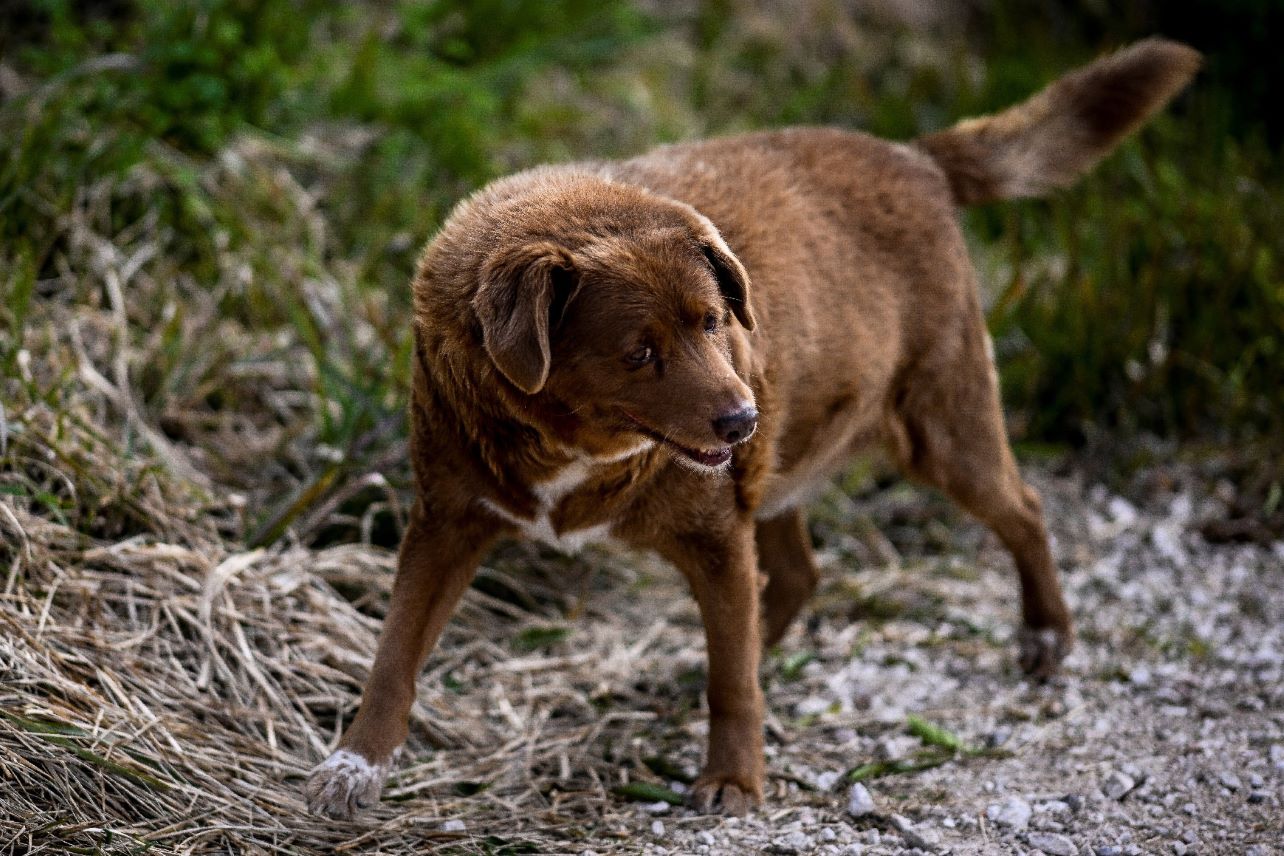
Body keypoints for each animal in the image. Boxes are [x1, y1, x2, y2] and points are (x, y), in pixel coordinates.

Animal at [305, 38, 1196, 816]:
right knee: (796, 575)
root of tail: (915, 157)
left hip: (939, 425)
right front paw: (354, 763)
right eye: (639, 352)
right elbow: (394, 652)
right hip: (784, 463)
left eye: (712, 321)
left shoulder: (713, 532)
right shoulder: (446, 520)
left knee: (1022, 510)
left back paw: (1046, 634)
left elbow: (730, 681)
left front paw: (733, 779)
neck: (575, 447)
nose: (741, 418)